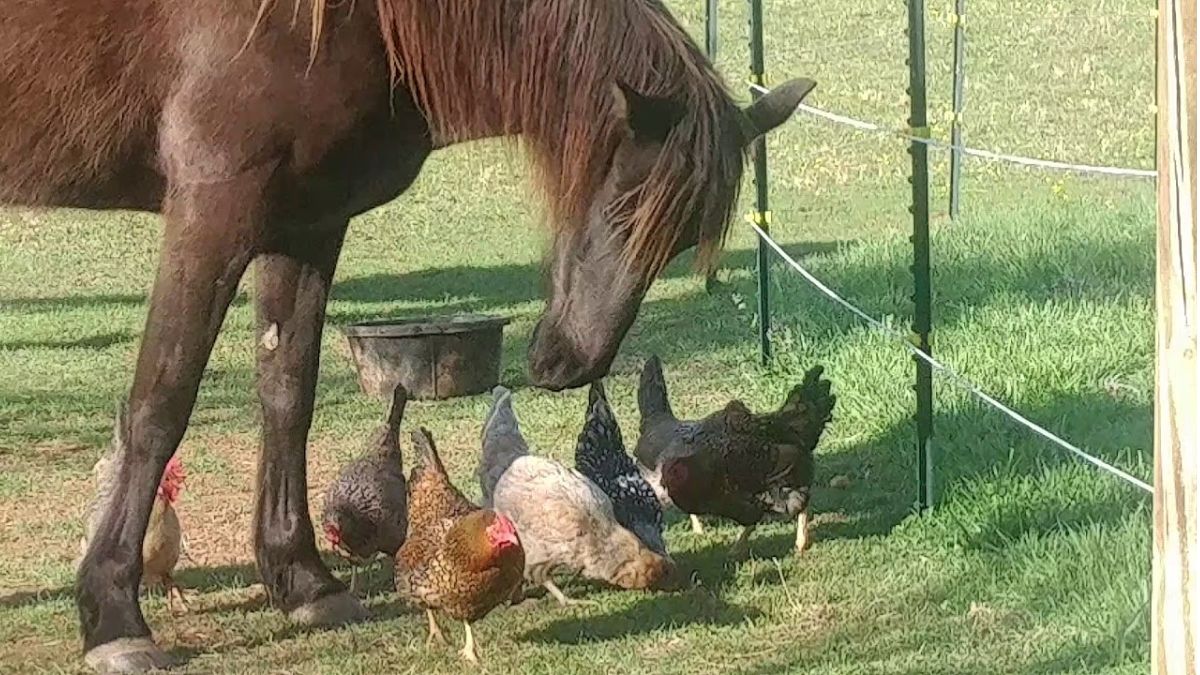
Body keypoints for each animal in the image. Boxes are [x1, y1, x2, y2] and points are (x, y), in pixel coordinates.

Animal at [0, 0, 814, 670]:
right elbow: (158, 405)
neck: (355, 19)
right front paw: (112, 618)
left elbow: (287, 395)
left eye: (679, 240)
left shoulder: (306, 223)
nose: (567, 362)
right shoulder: (213, 212)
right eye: (622, 208)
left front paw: (305, 583)